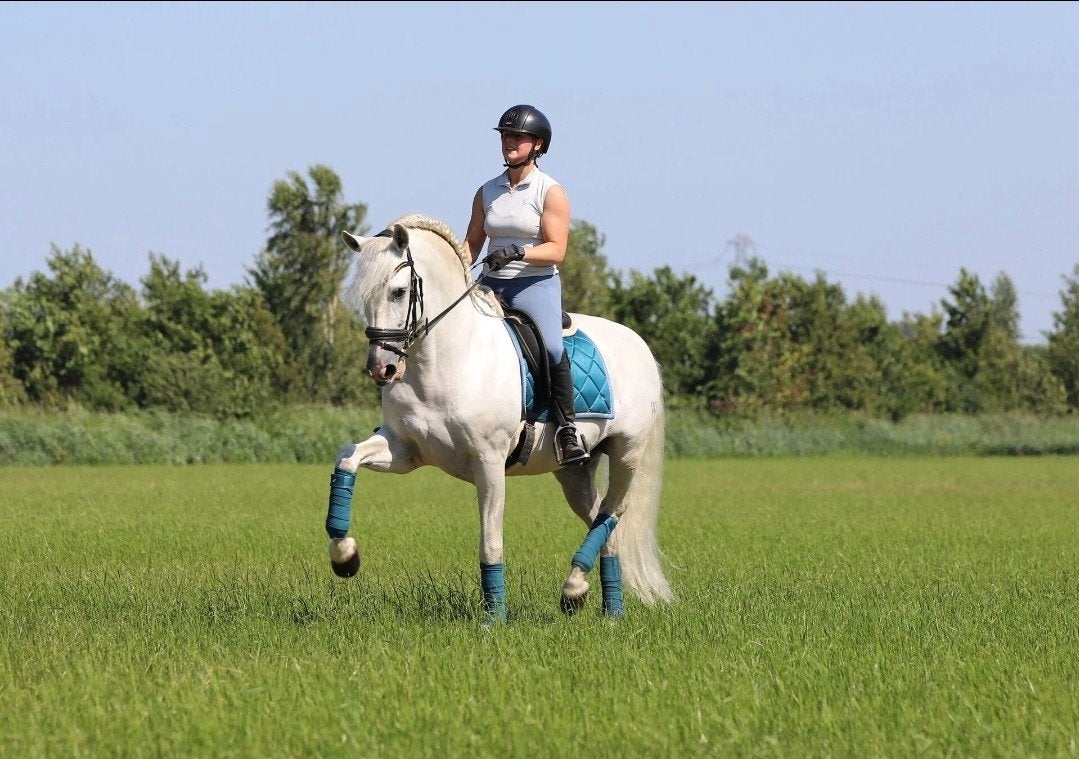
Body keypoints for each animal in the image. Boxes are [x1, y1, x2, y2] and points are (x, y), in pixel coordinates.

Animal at [324, 213, 672, 623]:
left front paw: (494, 619)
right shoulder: (405, 449)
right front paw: (345, 557)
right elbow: (347, 458)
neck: (445, 359)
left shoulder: (488, 461)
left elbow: (490, 541)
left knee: (612, 512)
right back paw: (605, 606)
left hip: (626, 453)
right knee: (604, 521)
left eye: (398, 291)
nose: (382, 369)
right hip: (573, 472)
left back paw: (576, 591)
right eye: (363, 298)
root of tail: (639, 344)